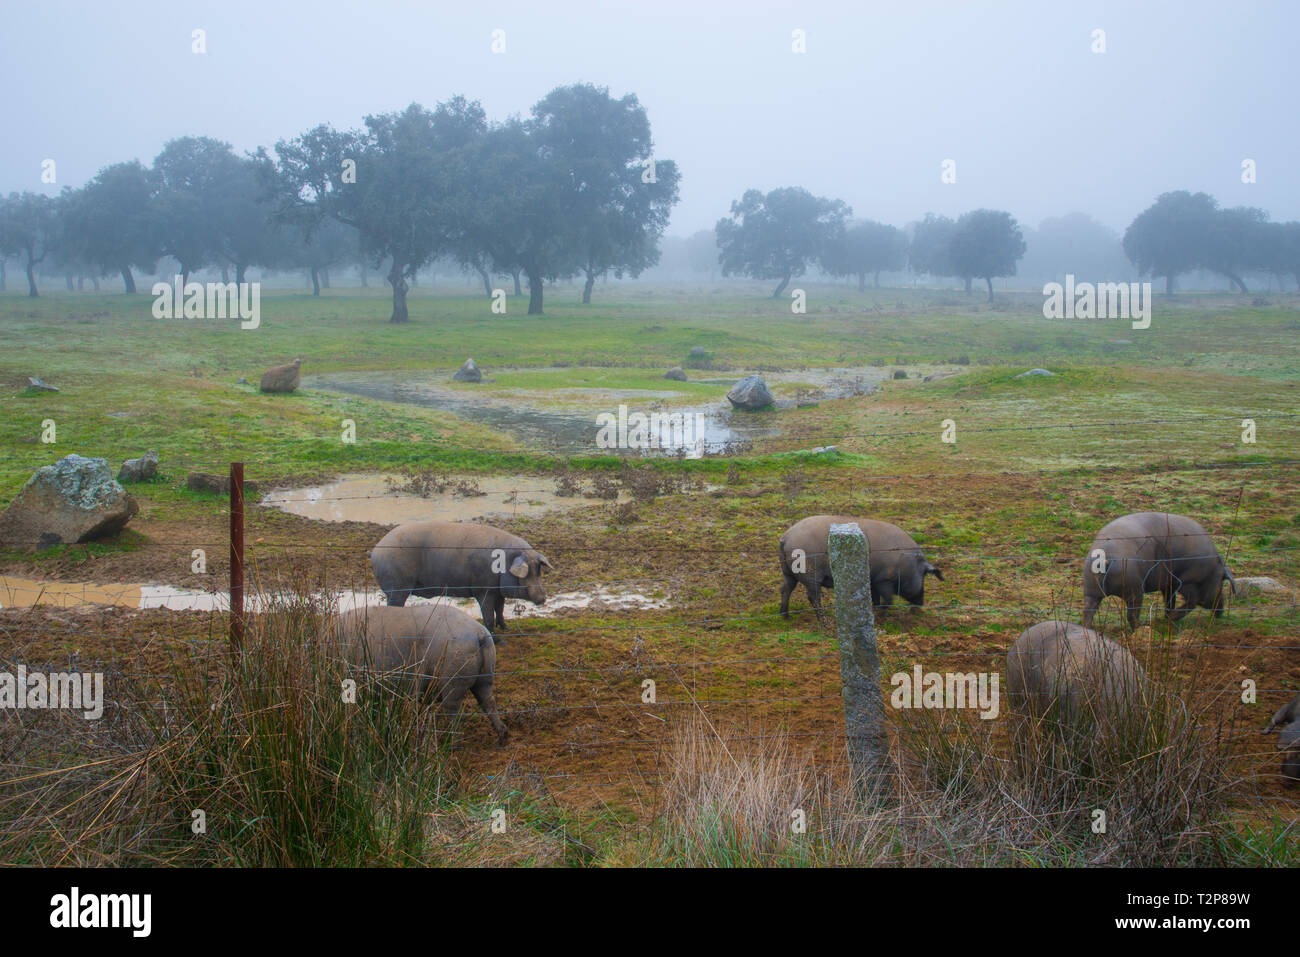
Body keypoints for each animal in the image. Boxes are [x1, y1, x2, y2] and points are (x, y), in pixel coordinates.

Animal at [335, 600, 506, 743]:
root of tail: (479, 634)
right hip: (485, 677)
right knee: (488, 702)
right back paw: (502, 737)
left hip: (453, 678)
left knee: (453, 709)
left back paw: (452, 743)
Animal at [369, 520, 551, 631]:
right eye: (526, 574)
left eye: (538, 571)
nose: (542, 598)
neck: (503, 563)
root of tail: (376, 550)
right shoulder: (483, 590)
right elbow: (488, 615)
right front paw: (499, 640)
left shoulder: (498, 592)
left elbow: (499, 610)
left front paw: (506, 628)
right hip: (397, 588)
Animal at [774, 514, 941, 621]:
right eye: (924, 575)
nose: (920, 603)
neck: (906, 563)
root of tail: (786, 537)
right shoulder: (884, 579)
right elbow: (888, 599)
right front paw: (881, 616)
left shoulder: (873, 580)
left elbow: (875, 598)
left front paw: (874, 612)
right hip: (810, 571)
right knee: (813, 596)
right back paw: (824, 621)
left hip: (788, 571)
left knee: (785, 588)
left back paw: (785, 616)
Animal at [1081, 512, 1232, 631]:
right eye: (1222, 582)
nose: (1221, 611)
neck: (1212, 569)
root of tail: (1105, 558)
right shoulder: (1187, 581)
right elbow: (1191, 601)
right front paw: (1171, 619)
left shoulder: (1169, 584)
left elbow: (1170, 600)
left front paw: (1167, 617)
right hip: (1134, 590)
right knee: (1132, 615)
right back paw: (1141, 628)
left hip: (1091, 589)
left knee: (1088, 611)